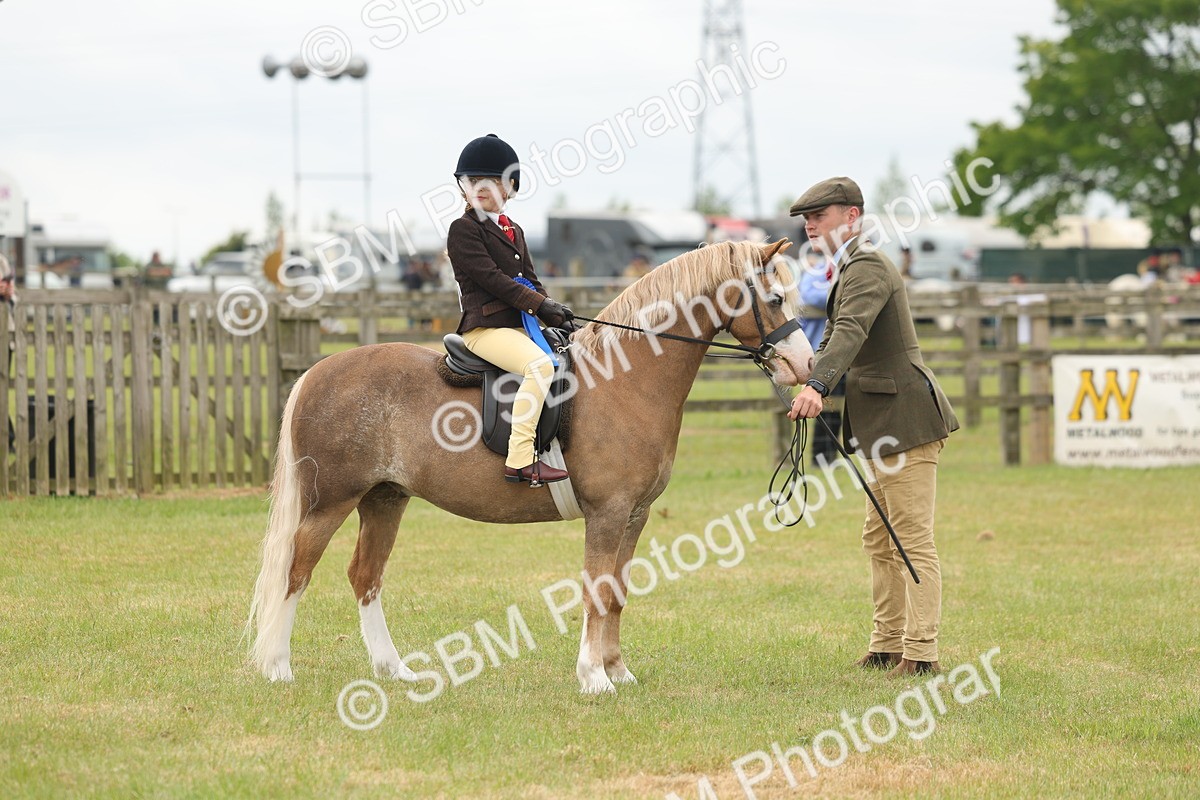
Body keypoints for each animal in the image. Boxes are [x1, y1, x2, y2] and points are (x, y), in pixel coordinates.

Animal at [247, 238, 814, 694]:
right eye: (775, 299)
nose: (806, 366)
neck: (627, 380)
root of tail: (318, 371)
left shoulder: (635, 516)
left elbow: (617, 594)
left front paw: (619, 671)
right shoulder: (608, 514)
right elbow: (595, 590)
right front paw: (594, 678)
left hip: (385, 499)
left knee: (365, 575)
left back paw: (394, 670)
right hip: (331, 503)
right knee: (296, 571)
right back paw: (278, 668)